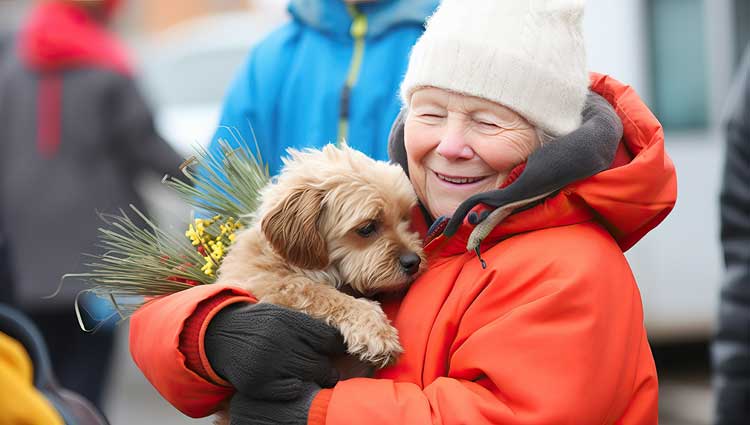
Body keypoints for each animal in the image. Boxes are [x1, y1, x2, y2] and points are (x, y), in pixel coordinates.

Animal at [217, 143, 426, 368]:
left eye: (405, 218)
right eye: (367, 228)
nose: (413, 262)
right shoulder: (264, 281)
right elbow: (315, 291)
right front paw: (375, 330)